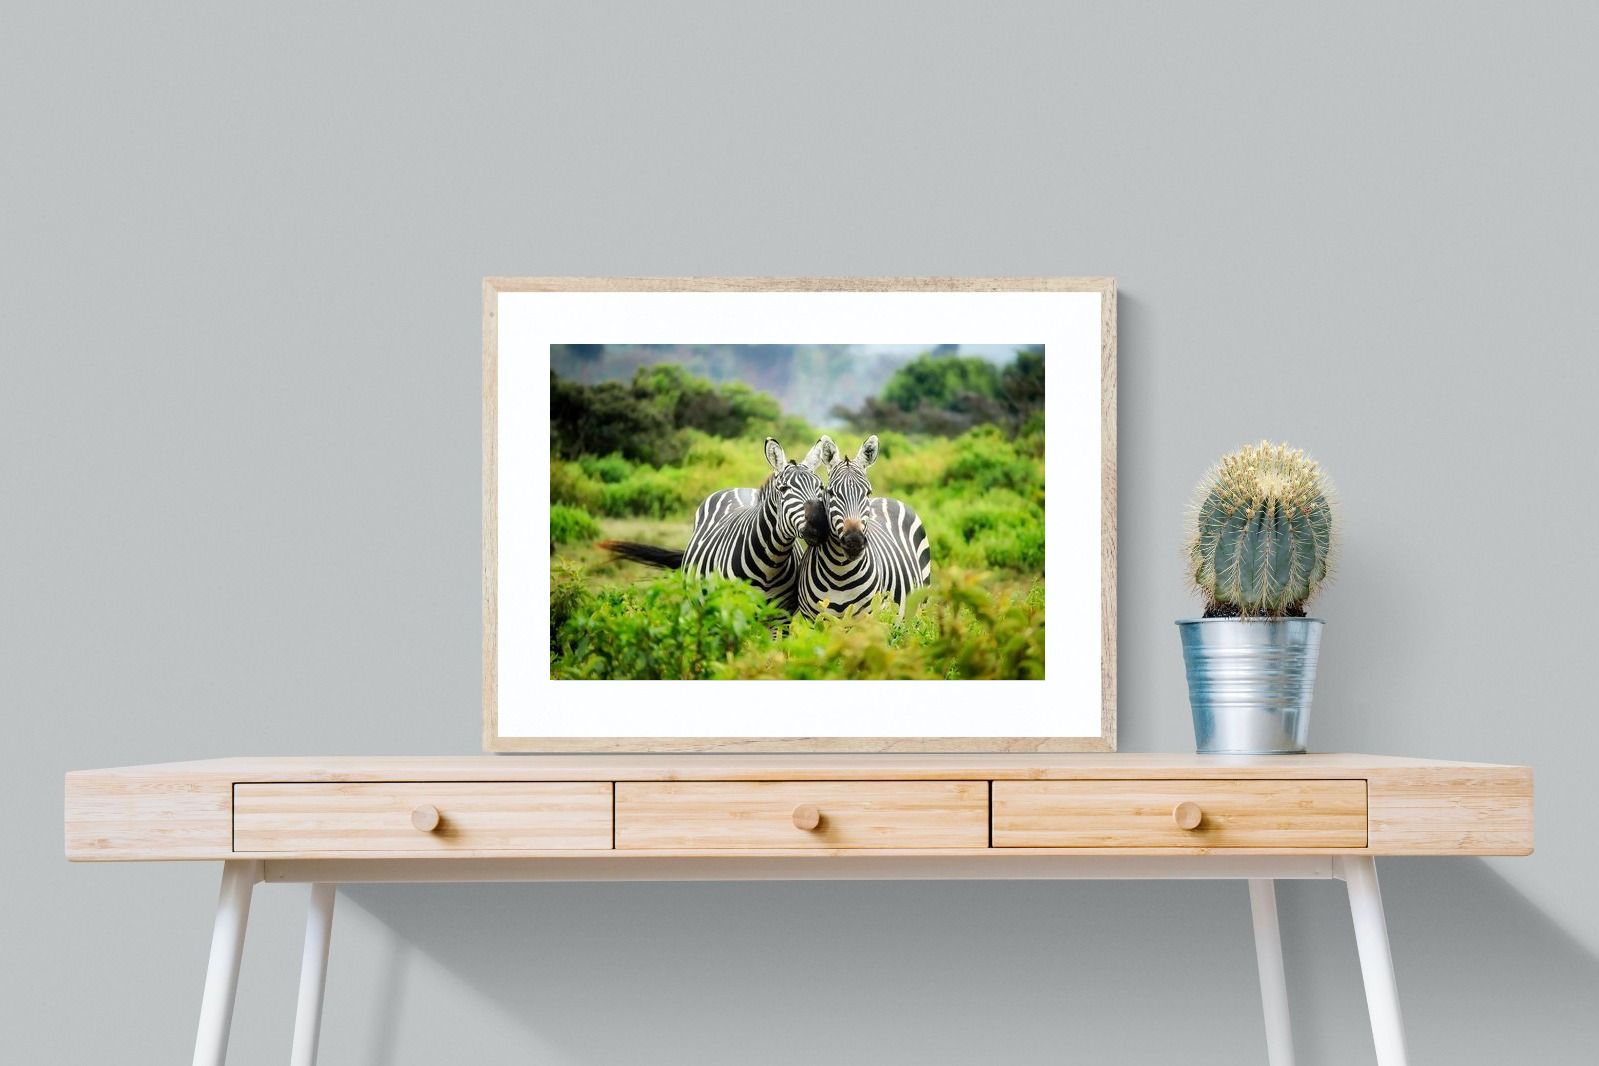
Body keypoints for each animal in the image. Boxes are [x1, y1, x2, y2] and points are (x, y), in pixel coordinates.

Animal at [599, 437, 833, 614]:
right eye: (783, 489)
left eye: (821, 487)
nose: (819, 526)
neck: (771, 564)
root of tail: (738, 488)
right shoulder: (733, 611)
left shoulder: (780, 617)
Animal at [797, 434, 932, 619]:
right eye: (830, 492)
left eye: (868, 492)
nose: (854, 541)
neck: (840, 574)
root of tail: (888, 498)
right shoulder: (813, 619)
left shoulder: (867, 618)